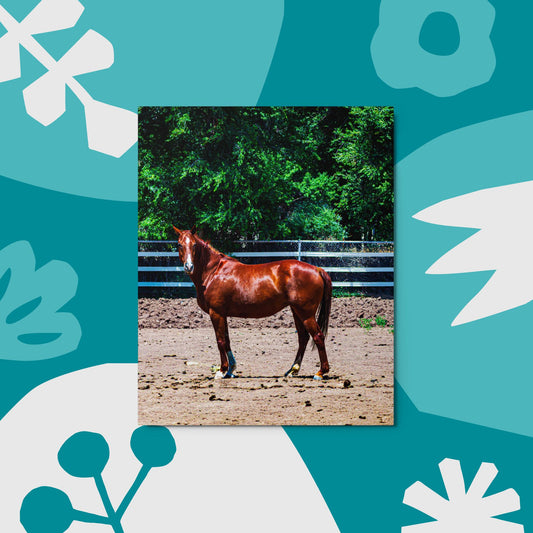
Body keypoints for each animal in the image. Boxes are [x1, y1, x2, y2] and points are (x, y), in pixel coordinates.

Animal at [172, 227, 330, 380]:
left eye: (194, 245)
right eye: (179, 244)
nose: (188, 266)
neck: (214, 272)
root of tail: (317, 269)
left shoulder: (216, 313)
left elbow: (220, 341)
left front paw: (221, 371)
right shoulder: (223, 314)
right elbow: (227, 340)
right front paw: (230, 370)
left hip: (306, 314)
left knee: (318, 336)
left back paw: (320, 372)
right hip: (296, 311)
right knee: (303, 338)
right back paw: (292, 370)